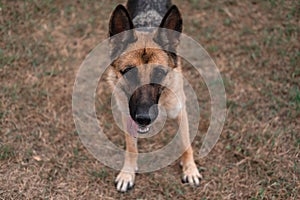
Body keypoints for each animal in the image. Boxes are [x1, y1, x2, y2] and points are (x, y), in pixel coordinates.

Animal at [106, 0, 203, 191]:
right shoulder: (127, 116)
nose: (143, 118)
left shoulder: (180, 111)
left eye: (159, 73)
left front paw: (190, 169)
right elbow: (131, 147)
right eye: (128, 72)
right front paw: (127, 173)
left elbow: (186, 143)